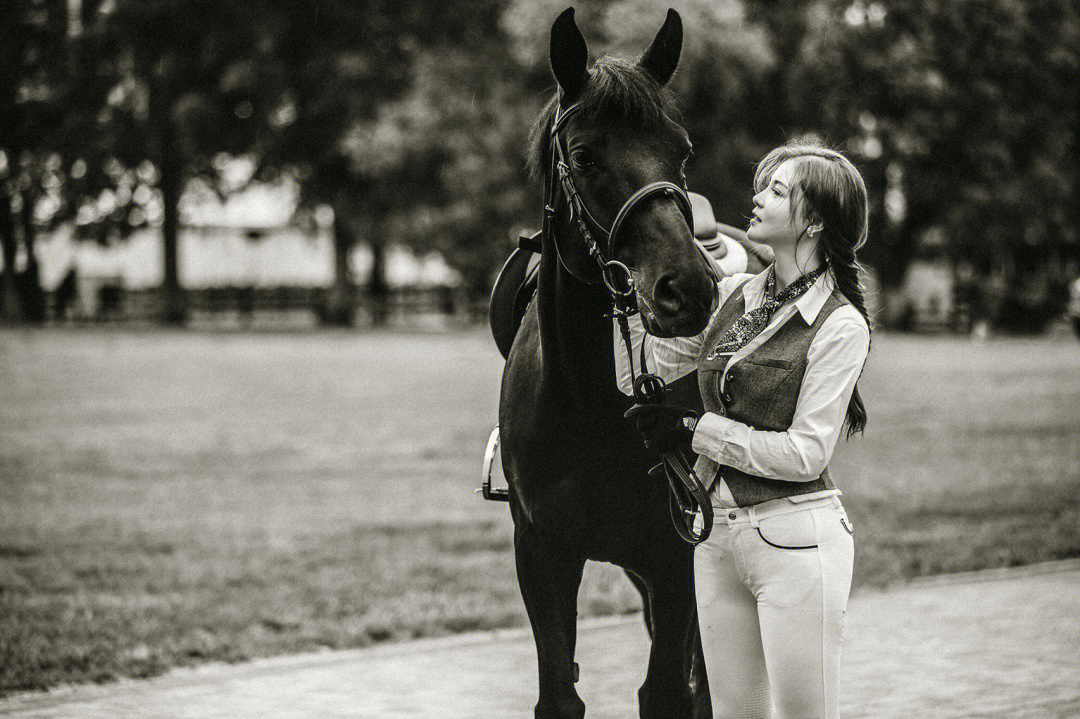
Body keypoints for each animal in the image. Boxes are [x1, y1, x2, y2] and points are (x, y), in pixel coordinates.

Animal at [501, 7, 721, 716]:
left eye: (681, 150)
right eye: (584, 155)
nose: (688, 289)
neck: (589, 408)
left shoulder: (676, 557)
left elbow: (669, 690)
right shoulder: (542, 556)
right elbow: (558, 692)